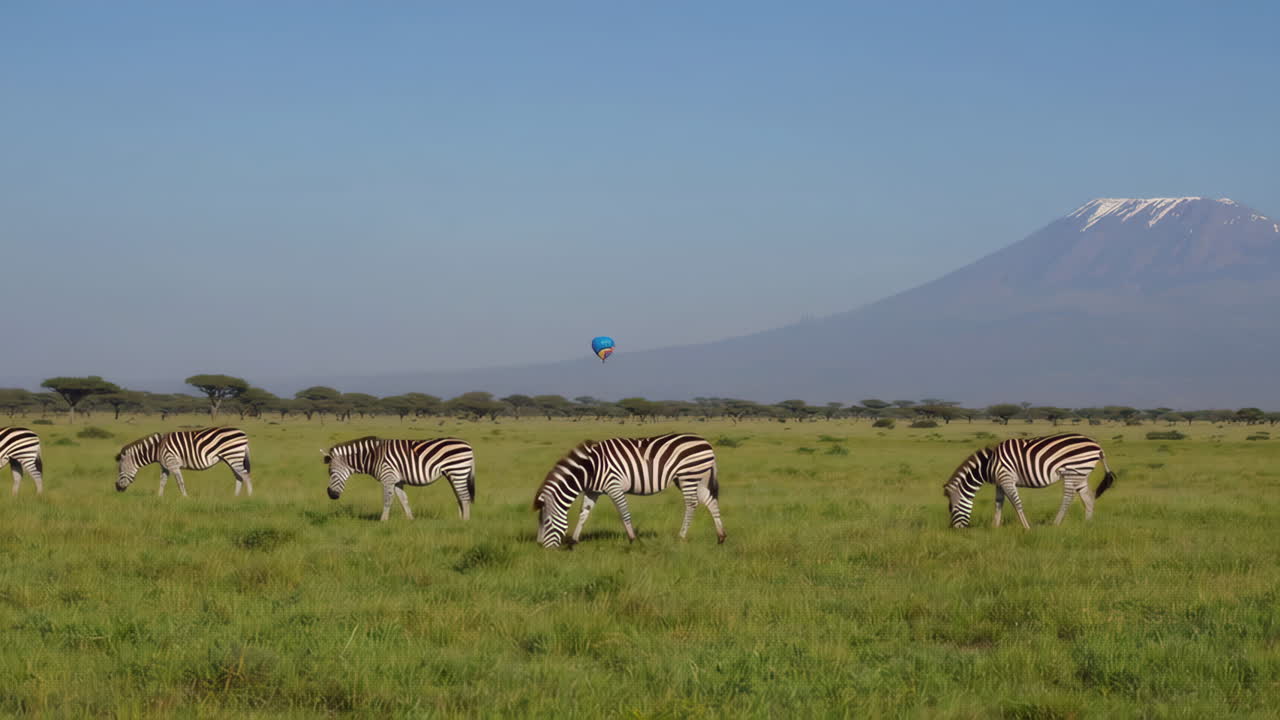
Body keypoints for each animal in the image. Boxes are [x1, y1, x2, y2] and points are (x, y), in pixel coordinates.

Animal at [115, 427, 253, 496]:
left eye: (120, 470)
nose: (117, 488)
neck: (158, 448)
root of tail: (243, 433)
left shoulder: (173, 464)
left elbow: (180, 482)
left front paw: (185, 497)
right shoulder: (165, 466)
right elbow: (162, 482)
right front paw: (159, 497)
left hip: (233, 456)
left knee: (245, 475)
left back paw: (250, 497)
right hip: (230, 458)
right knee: (239, 476)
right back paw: (235, 498)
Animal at [323, 436, 475, 522]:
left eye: (331, 472)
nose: (330, 495)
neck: (373, 457)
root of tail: (468, 444)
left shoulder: (388, 477)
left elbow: (387, 500)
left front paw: (383, 521)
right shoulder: (397, 481)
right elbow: (404, 500)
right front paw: (410, 520)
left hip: (458, 471)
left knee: (465, 496)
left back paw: (465, 521)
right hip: (452, 474)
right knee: (459, 496)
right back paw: (460, 520)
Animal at [533, 433, 725, 548]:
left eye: (547, 522)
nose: (541, 547)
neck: (590, 469)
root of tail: (706, 442)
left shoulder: (614, 486)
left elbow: (623, 512)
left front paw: (633, 539)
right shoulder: (592, 491)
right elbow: (583, 514)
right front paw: (574, 541)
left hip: (689, 476)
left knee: (692, 504)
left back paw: (681, 536)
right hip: (696, 478)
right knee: (710, 501)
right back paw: (721, 537)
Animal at [943, 433, 1116, 529]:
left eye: (951, 509)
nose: (953, 529)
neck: (989, 463)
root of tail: (1097, 445)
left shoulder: (1007, 478)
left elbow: (1016, 503)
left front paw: (1027, 527)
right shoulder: (1000, 482)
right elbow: (999, 502)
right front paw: (995, 527)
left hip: (1072, 472)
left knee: (1068, 498)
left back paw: (1055, 524)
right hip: (1081, 474)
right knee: (1088, 497)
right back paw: (1088, 525)